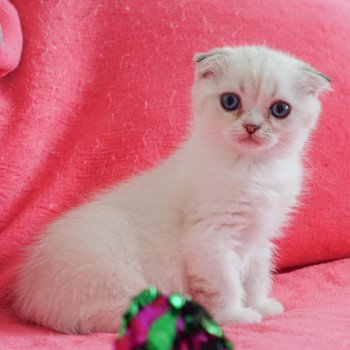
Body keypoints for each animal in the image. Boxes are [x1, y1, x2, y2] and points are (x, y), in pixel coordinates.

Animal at [13, 45, 330, 334]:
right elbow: (226, 283)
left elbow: (256, 276)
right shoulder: (210, 239)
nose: (251, 127)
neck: (253, 169)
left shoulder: (259, 237)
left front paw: (260, 304)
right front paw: (235, 315)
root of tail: (25, 295)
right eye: (230, 101)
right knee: (114, 316)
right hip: (113, 275)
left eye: (280, 109)